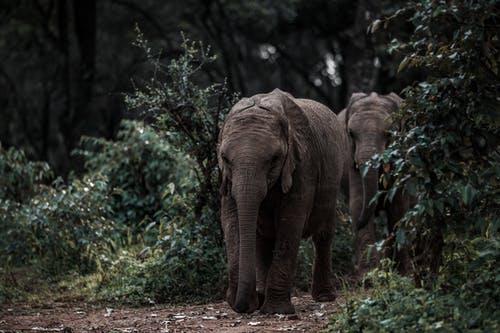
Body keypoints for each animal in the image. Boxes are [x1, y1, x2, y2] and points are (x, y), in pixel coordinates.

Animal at [219, 88, 348, 314]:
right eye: (225, 158)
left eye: (275, 158)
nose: (245, 305)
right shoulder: (226, 177)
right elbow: (230, 220)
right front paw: (247, 303)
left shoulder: (303, 163)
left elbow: (290, 222)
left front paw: (276, 310)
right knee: (263, 239)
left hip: (333, 178)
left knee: (323, 234)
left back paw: (324, 297)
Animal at [338, 92, 412, 276]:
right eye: (351, 134)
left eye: (389, 134)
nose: (356, 223)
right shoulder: (351, 158)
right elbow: (358, 204)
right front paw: (369, 276)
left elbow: (398, 206)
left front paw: (403, 274)